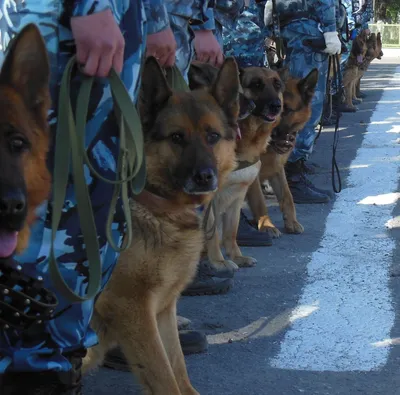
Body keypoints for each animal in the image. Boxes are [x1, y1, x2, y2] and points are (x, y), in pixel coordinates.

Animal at [82, 57, 239, 394]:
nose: (205, 177)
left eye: (213, 136)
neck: (158, 206)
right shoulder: (133, 311)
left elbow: (178, 367)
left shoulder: (164, 310)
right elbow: (165, 377)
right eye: (177, 137)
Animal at [188, 63, 284, 274]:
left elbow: (231, 232)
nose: (276, 106)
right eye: (256, 84)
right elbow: (213, 234)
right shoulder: (209, 200)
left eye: (277, 84)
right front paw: (219, 262)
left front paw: (237, 257)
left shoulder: (238, 195)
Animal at [247, 68, 318, 237]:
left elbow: (287, 196)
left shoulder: (277, 168)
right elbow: (259, 201)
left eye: (286, 110)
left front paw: (291, 222)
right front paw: (266, 226)